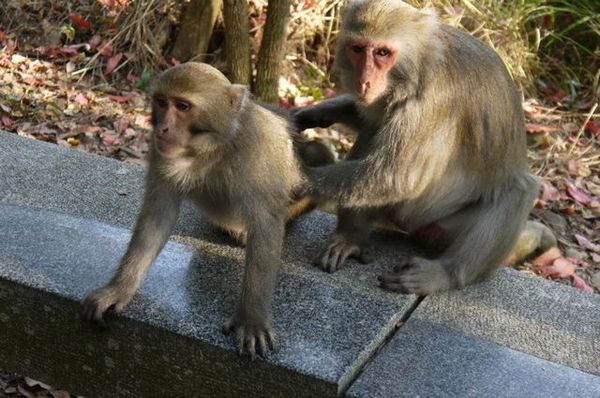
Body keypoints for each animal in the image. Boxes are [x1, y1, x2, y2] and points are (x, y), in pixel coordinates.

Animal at [81, 63, 330, 360]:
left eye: (183, 106)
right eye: (162, 102)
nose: (162, 127)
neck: (211, 148)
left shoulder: (258, 148)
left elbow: (265, 224)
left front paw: (252, 319)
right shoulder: (160, 150)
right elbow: (158, 217)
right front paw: (118, 290)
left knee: (316, 154)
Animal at [292, 0, 540, 294]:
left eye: (383, 52)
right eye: (357, 49)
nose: (364, 81)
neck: (418, 66)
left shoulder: (433, 102)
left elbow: (397, 177)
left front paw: (295, 174)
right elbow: (368, 118)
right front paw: (315, 113)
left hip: (440, 225)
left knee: (519, 190)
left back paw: (446, 273)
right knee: (374, 133)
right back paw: (350, 237)